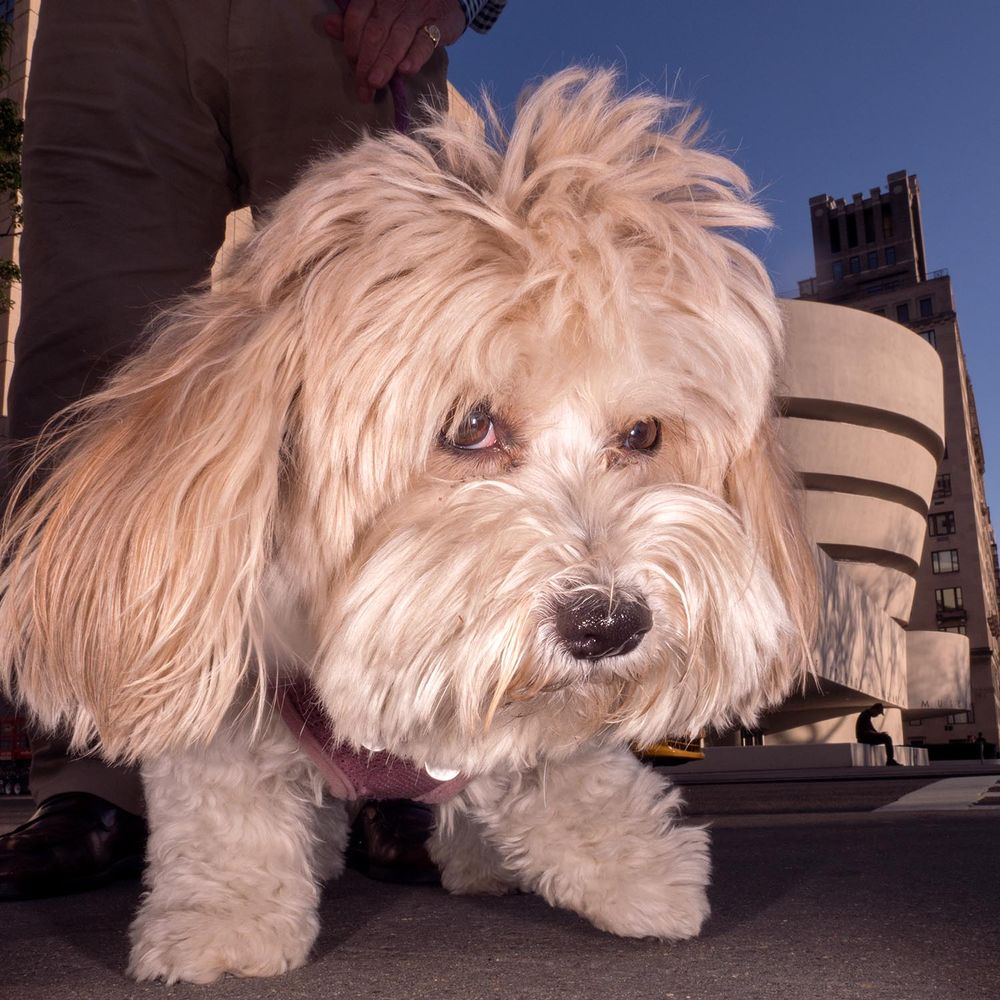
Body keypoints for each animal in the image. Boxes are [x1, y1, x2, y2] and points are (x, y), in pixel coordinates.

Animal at [0, 70, 812, 984]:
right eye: (471, 427)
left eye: (642, 435)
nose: (609, 624)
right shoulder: (227, 666)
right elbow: (229, 804)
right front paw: (226, 921)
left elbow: (564, 767)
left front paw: (631, 865)